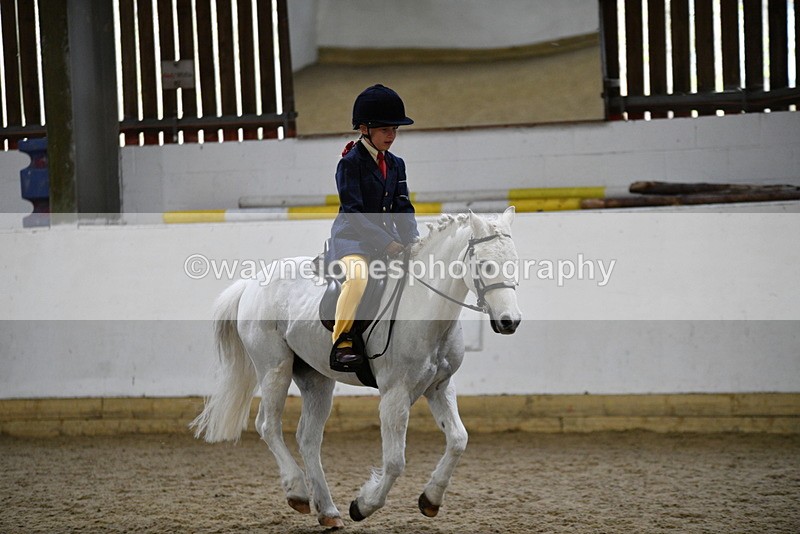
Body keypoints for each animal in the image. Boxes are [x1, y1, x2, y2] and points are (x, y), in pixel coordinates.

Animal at [191, 207, 522, 528]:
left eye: (514, 263)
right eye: (485, 265)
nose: (510, 322)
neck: (423, 305)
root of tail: (252, 283)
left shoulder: (439, 387)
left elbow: (458, 440)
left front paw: (430, 499)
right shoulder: (395, 394)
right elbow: (395, 462)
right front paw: (363, 506)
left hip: (316, 379)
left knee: (308, 438)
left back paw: (328, 511)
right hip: (275, 368)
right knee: (268, 425)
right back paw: (298, 492)